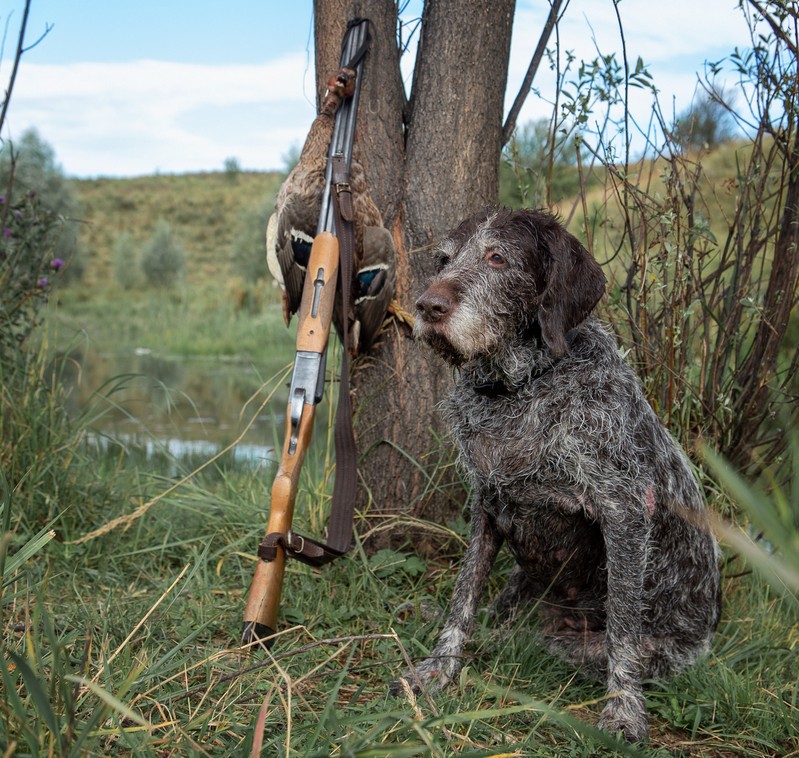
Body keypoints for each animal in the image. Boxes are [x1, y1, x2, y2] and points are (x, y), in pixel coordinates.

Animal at [390, 206, 720, 744]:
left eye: (497, 258)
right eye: (443, 259)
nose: (428, 305)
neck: (521, 387)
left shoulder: (625, 512)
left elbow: (623, 629)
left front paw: (624, 709)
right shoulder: (487, 506)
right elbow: (463, 600)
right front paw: (438, 668)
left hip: (589, 644)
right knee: (499, 619)